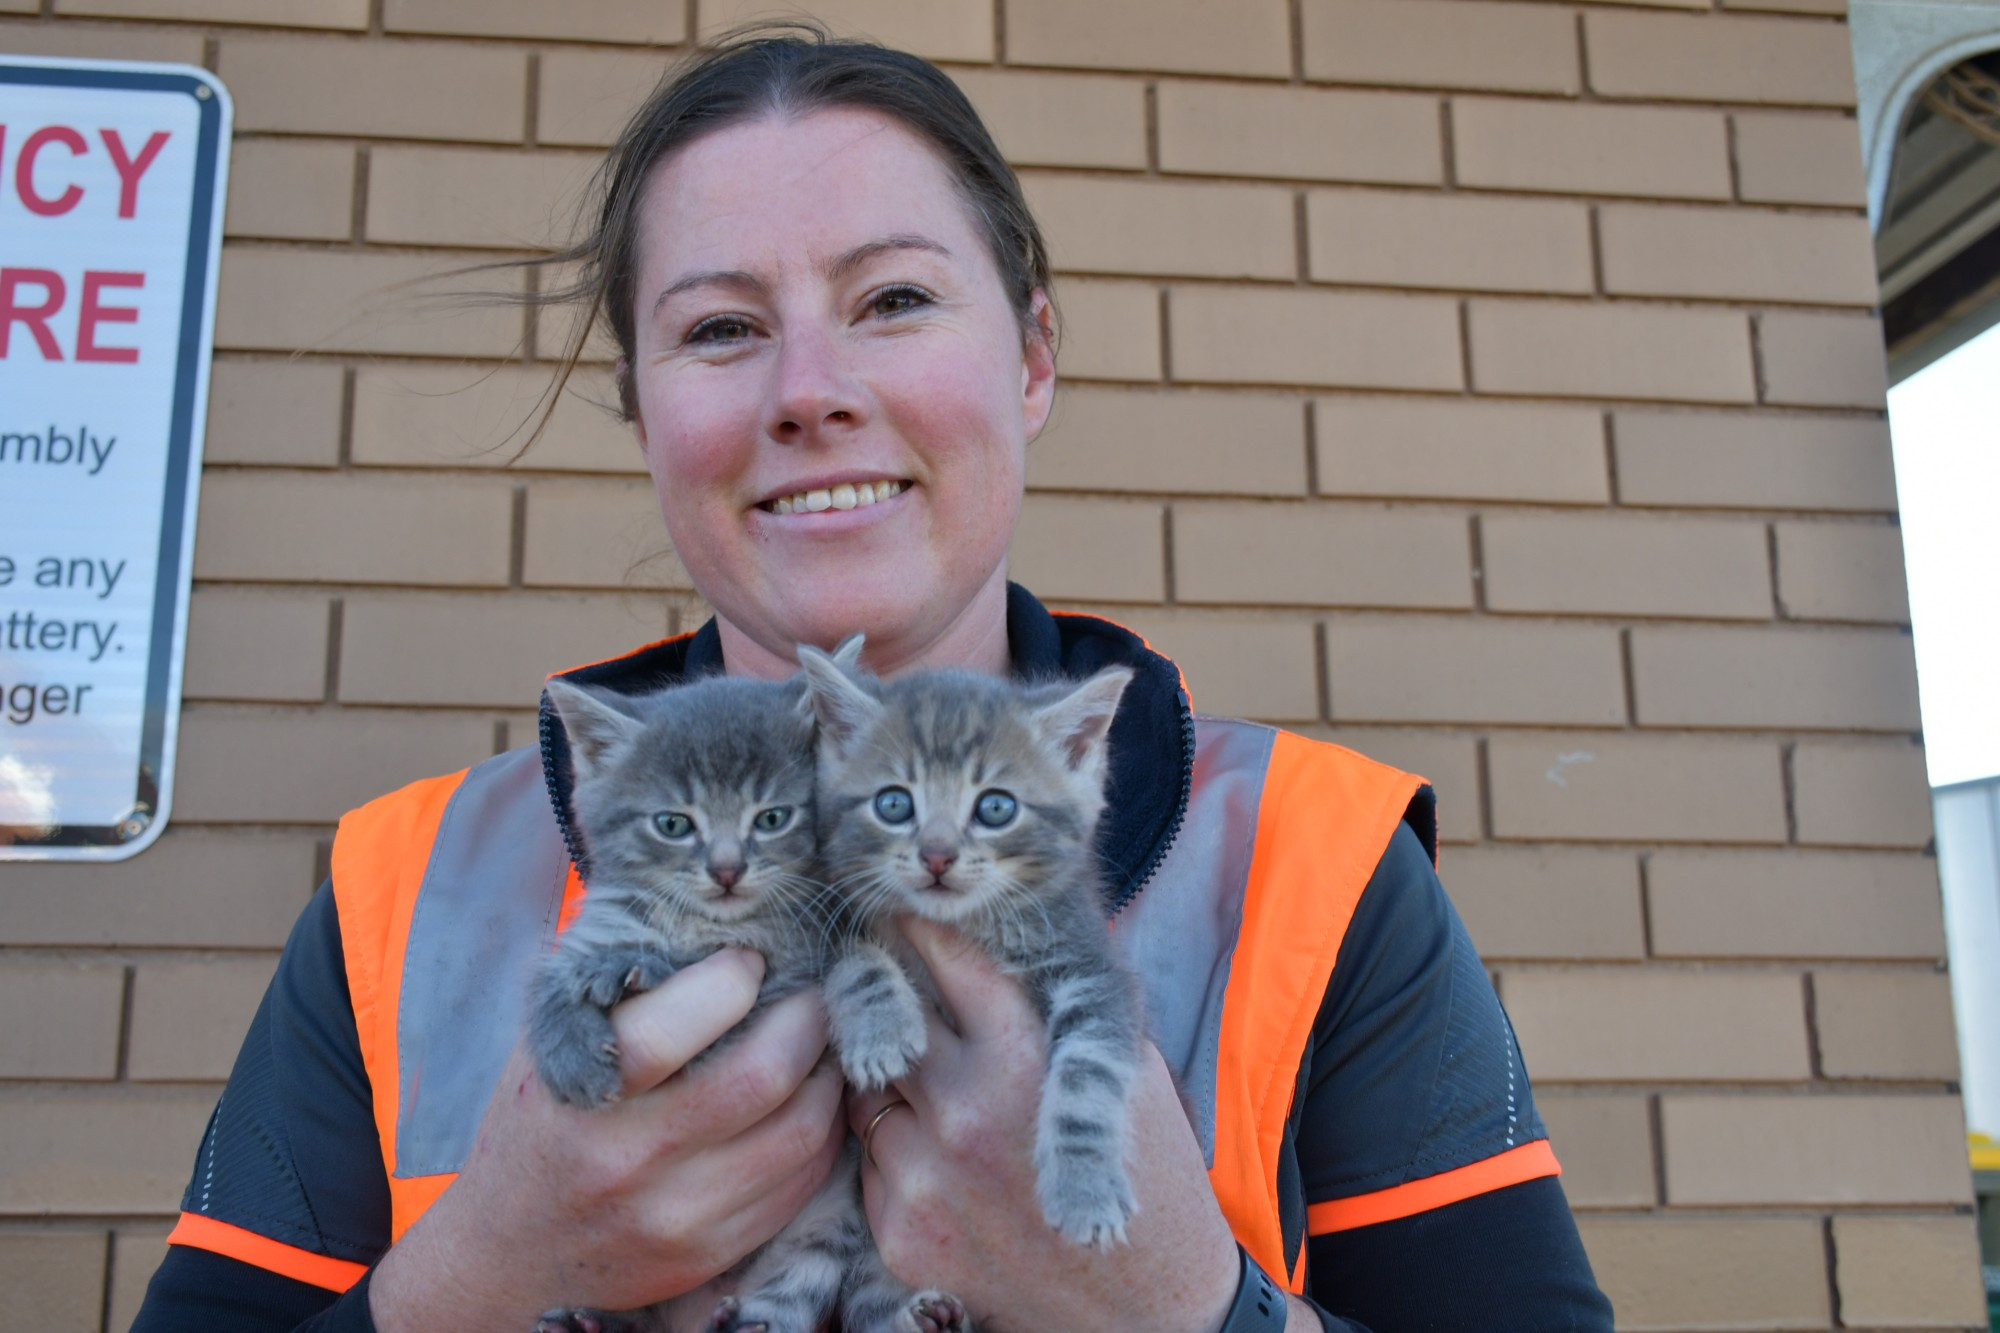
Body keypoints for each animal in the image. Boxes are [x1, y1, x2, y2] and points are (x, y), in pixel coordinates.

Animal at [528, 668, 864, 1328]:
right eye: (673, 824)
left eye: (772, 817)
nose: (727, 870)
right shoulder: (602, 919)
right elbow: (552, 983)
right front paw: (569, 1053)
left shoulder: (789, 974)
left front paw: (635, 969)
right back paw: (590, 1321)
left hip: (826, 1227)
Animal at [796, 640, 1144, 1264]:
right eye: (893, 804)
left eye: (996, 809)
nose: (936, 855)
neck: (966, 923)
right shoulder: (825, 908)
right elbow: (853, 958)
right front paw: (880, 1030)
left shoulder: (1090, 963)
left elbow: (1089, 1072)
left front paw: (1085, 1188)